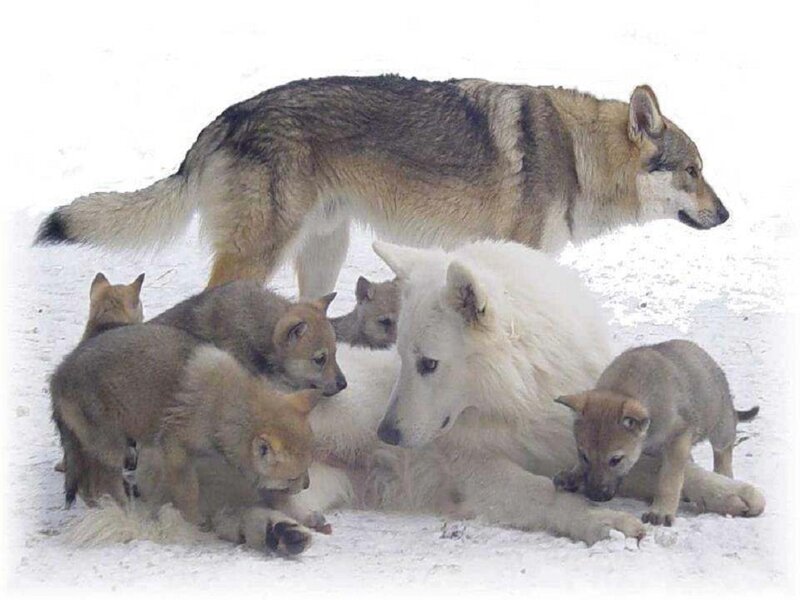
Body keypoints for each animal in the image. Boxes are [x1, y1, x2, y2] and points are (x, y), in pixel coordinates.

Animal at [35, 76, 729, 297]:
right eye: (693, 172)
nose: (724, 215)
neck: (578, 154)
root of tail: (227, 116)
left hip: (324, 256)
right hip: (262, 254)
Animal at [553, 339, 762, 526]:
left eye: (615, 460)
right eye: (584, 456)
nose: (595, 496)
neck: (624, 388)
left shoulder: (678, 437)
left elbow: (669, 478)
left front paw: (661, 510)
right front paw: (572, 474)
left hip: (720, 427)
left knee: (723, 451)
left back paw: (724, 474)